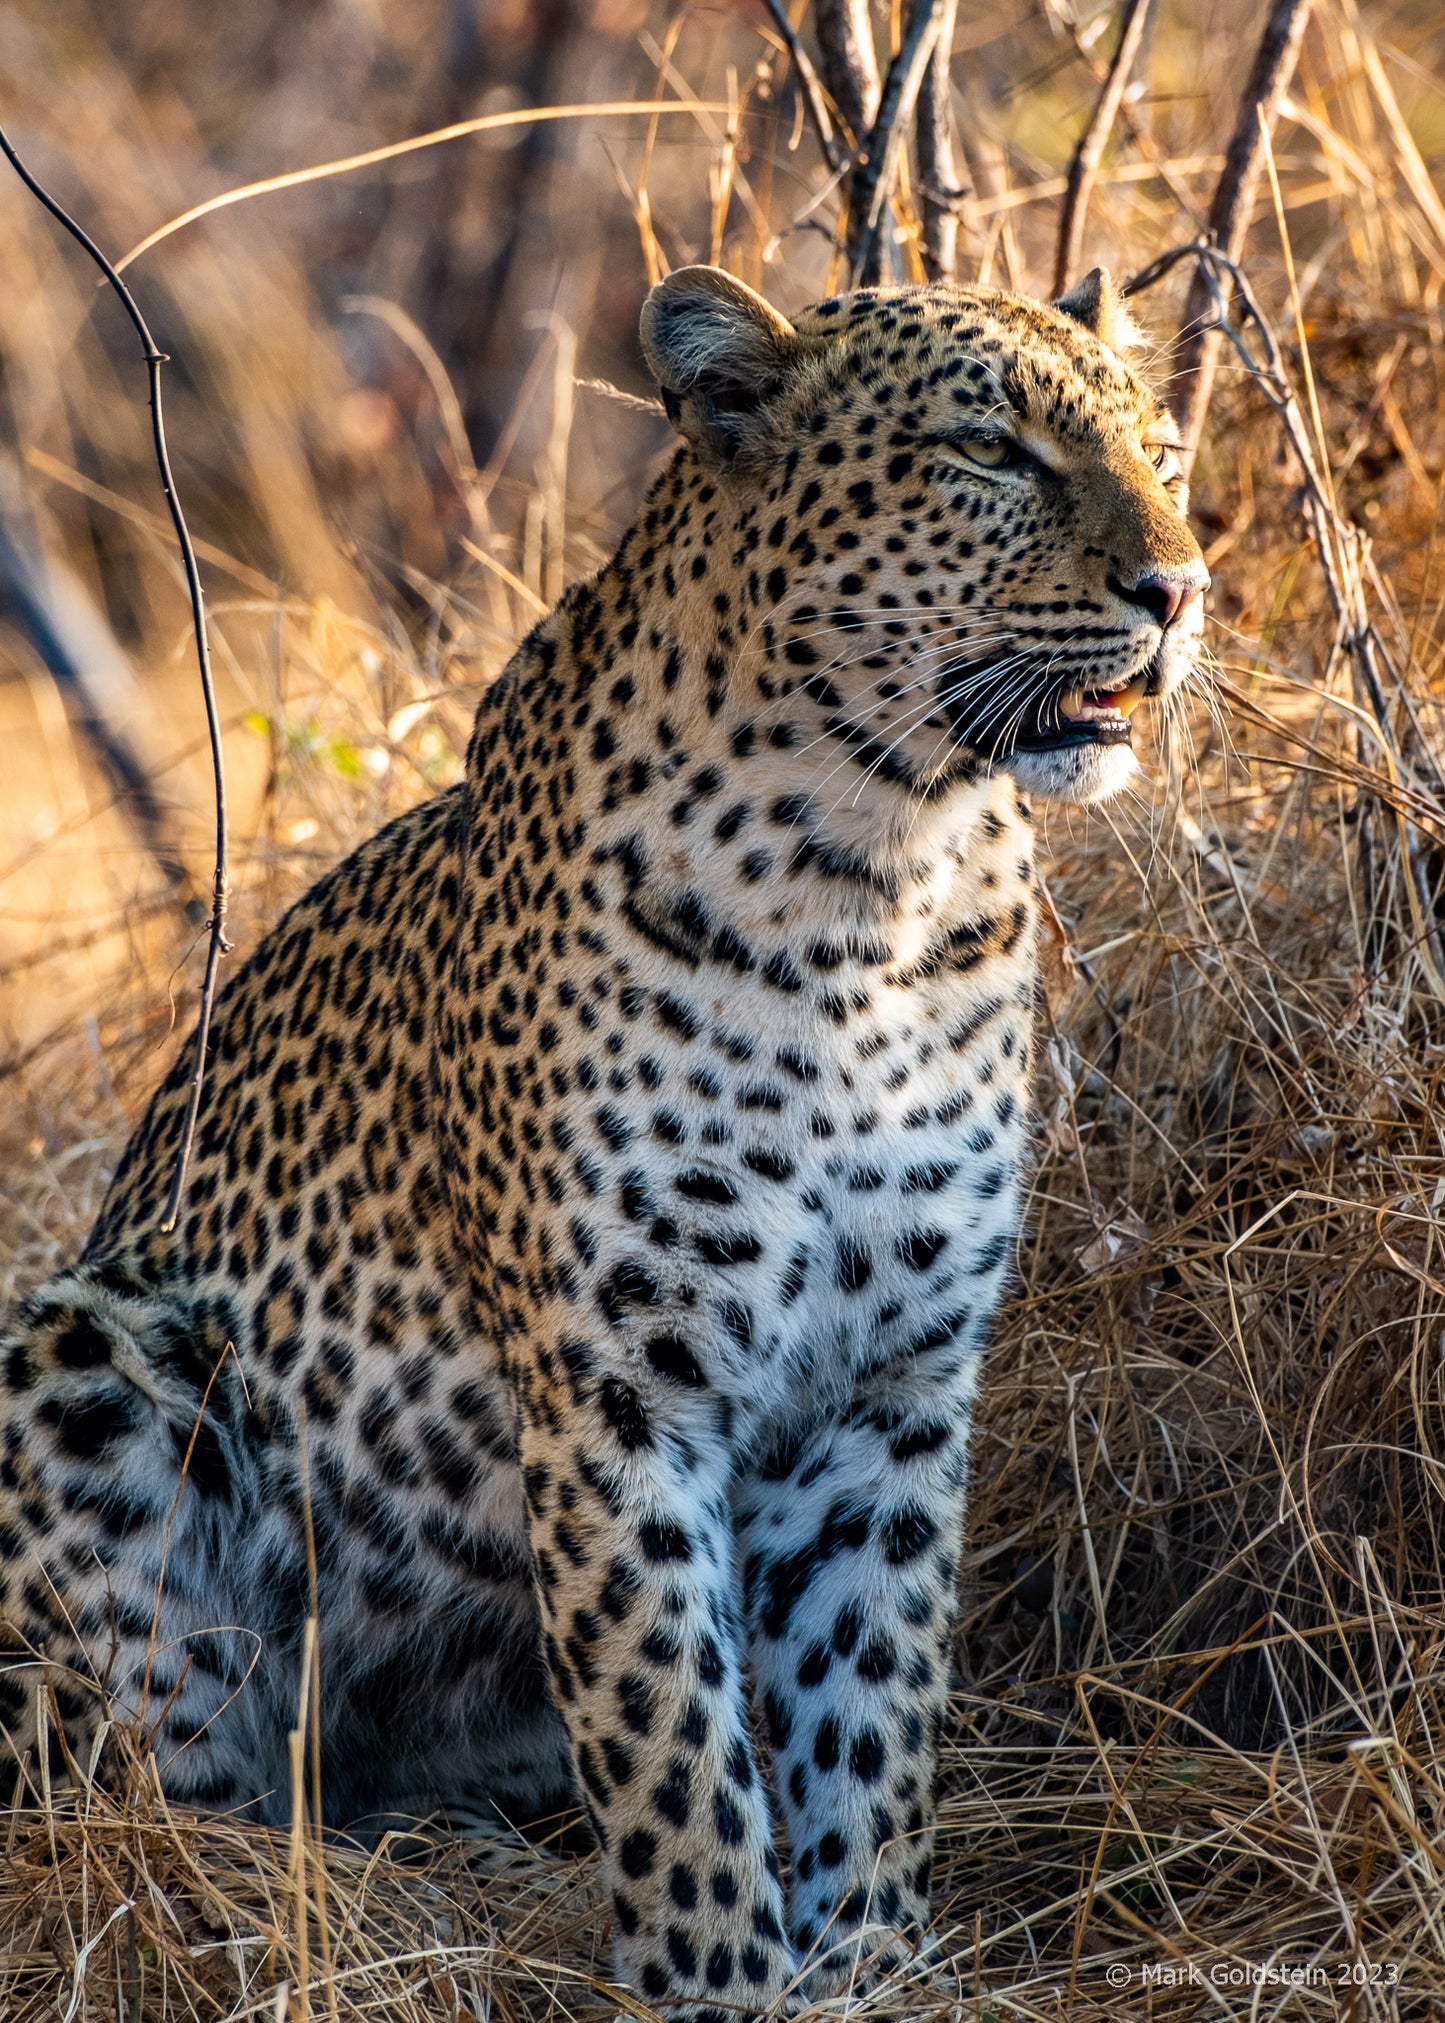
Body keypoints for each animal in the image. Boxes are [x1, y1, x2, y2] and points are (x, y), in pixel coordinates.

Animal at [0, 260, 1206, 2014]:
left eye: (1163, 449)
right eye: (992, 450)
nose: (1180, 585)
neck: (884, 871)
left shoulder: (895, 1382)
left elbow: (870, 1688)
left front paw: (870, 1953)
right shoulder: (619, 1386)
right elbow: (670, 1721)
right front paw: (721, 1972)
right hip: (83, 1346)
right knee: (163, 1776)